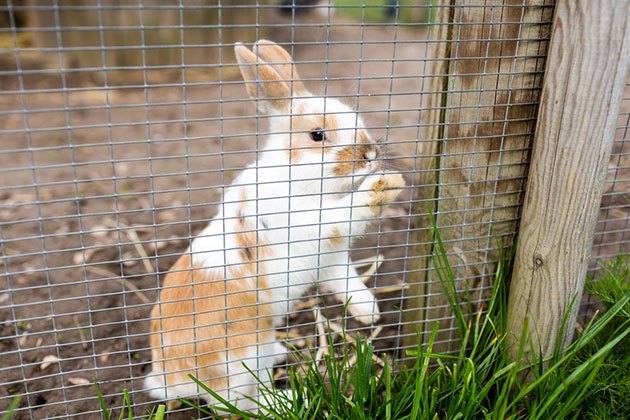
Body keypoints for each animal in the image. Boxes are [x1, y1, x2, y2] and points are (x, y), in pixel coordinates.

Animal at [144, 39, 404, 410]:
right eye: (317, 134)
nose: (370, 155)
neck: (298, 178)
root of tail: (169, 378)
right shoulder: (312, 225)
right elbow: (344, 213)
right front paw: (384, 186)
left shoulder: (329, 261)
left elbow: (349, 282)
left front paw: (370, 313)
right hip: (238, 363)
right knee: (235, 405)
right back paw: (292, 400)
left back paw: (280, 354)